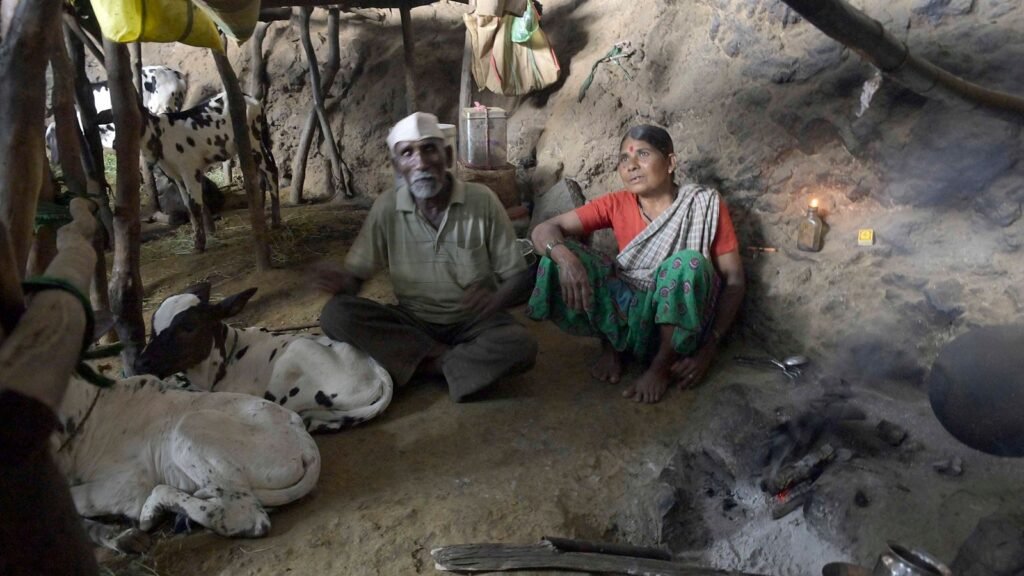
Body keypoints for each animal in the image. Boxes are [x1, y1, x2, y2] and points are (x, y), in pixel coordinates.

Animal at [52, 373, 321, 545]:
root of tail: (306, 442)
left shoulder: (127, 485)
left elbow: (77, 499)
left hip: (190, 427)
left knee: (246, 516)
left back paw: (154, 508)